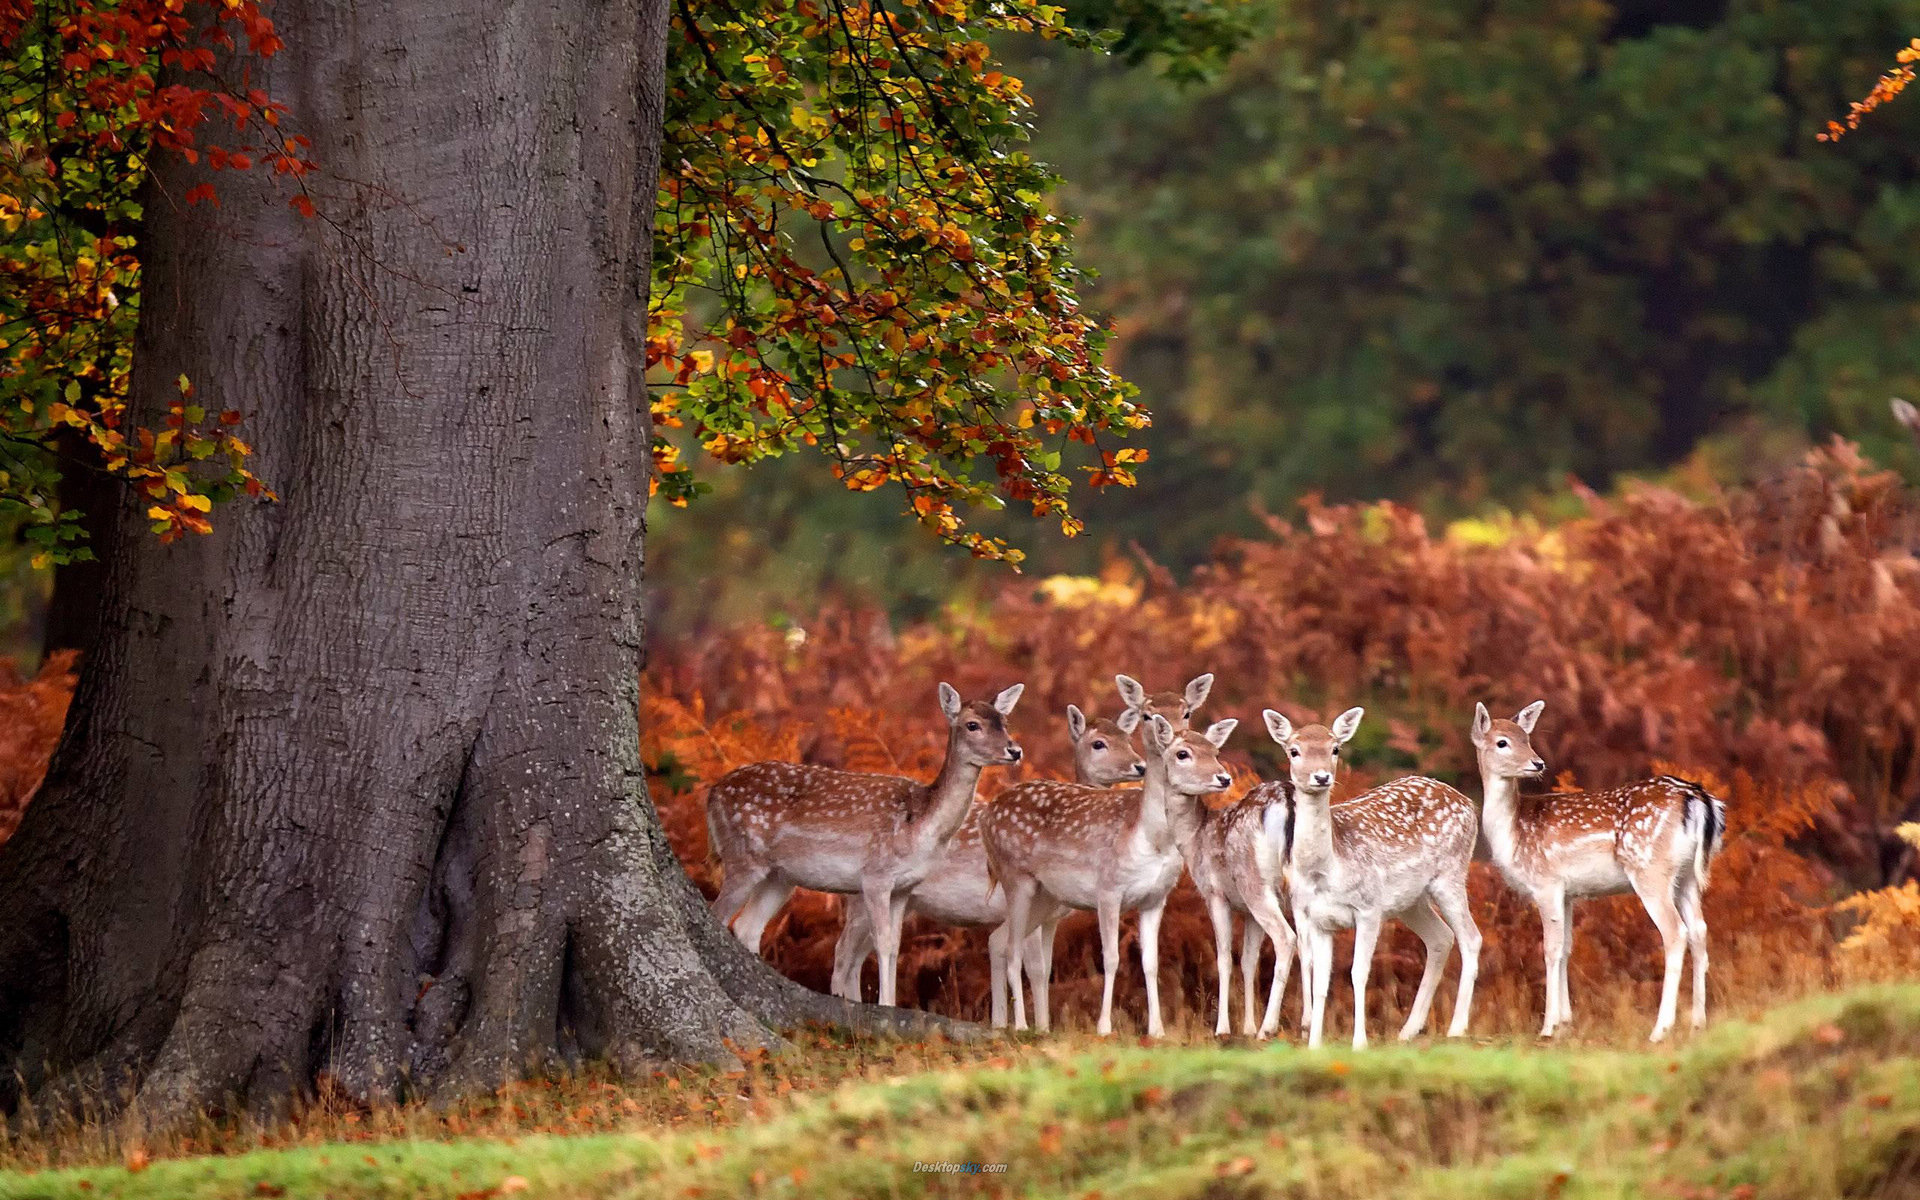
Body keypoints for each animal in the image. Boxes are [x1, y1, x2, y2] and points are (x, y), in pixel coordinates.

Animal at [706, 679, 1029, 1006]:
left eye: (1004, 722)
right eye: (972, 724)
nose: (1014, 750)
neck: (921, 826)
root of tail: (713, 793)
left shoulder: (904, 887)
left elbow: (895, 945)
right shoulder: (876, 875)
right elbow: (883, 942)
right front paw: (886, 1004)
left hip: (780, 877)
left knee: (747, 926)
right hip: (742, 856)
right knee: (719, 914)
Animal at [825, 702, 1136, 1021]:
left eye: (1129, 739)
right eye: (1099, 743)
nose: (1139, 766)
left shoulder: (1049, 917)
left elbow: (1039, 965)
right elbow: (1035, 968)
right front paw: (1033, 1026)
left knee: (858, 955)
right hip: (863, 895)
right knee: (843, 952)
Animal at [983, 710, 1236, 1029]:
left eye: (1216, 752)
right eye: (1183, 753)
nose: (1224, 777)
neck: (1151, 840)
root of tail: (987, 814)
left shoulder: (1156, 898)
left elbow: (1150, 963)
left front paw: (1157, 1029)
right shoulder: (1108, 889)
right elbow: (1112, 958)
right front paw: (1104, 1027)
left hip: (1047, 896)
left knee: (999, 940)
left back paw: (1006, 1024)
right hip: (1016, 877)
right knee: (1014, 949)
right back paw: (1021, 1026)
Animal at [1274, 706, 1482, 1044]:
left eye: (1335, 748)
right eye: (1294, 750)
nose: (1321, 776)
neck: (1326, 870)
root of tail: (1469, 803)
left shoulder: (1368, 907)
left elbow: (1359, 973)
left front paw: (1359, 1042)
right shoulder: (1316, 918)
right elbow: (1320, 980)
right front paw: (1314, 1043)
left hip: (1450, 875)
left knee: (1471, 937)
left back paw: (1456, 1028)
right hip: (1410, 901)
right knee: (1441, 937)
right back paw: (1408, 1030)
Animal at [1474, 702, 1735, 1036]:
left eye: (1526, 738)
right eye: (1503, 742)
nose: (1538, 762)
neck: (1513, 833)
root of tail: (1699, 799)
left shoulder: (1545, 882)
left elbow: (1550, 950)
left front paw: (1548, 1027)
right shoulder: (1567, 893)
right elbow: (1567, 948)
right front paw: (1565, 1022)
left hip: (1649, 869)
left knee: (1676, 932)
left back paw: (1659, 1030)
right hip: (1686, 875)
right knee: (1700, 930)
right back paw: (1698, 1023)